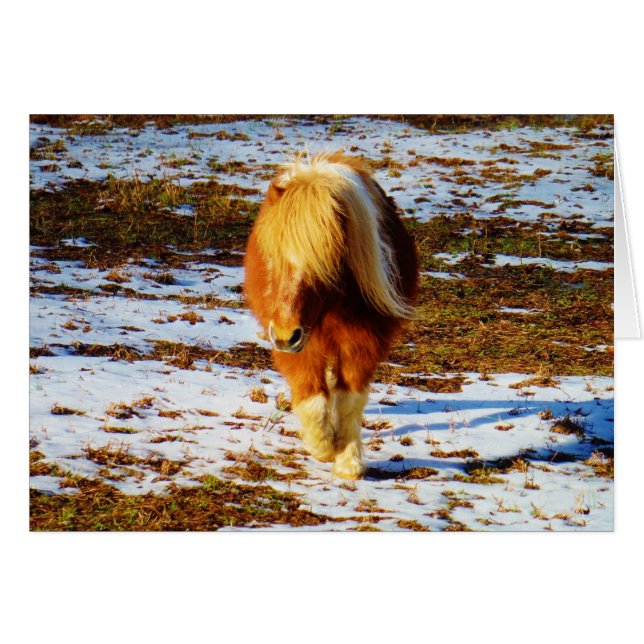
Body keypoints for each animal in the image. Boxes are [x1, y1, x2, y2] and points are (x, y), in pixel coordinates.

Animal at [243, 151, 419, 479]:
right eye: (272, 259)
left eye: (324, 266)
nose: (285, 335)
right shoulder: (298, 346)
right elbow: (311, 397)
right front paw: (322, 446)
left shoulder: (364, 343)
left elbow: (349, 400)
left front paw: (348, 461)